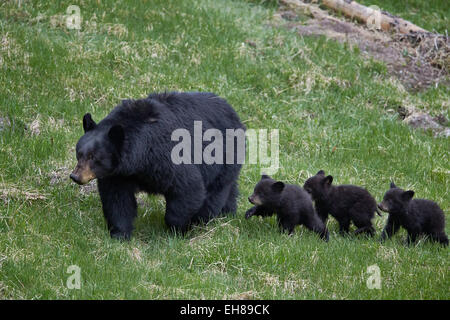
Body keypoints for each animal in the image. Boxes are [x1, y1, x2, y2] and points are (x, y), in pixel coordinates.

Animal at [71, 91, 246, 239]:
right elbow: (117, 200)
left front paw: (178, 230)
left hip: (223, 156)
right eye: (79, 153)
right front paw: (120, 234)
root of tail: (235, 114)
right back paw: (228, 213)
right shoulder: (118, 174)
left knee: (215, 191)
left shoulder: (166, 155)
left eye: (93, 157)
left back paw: (204, 219)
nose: (75, 176)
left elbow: (189, 187)